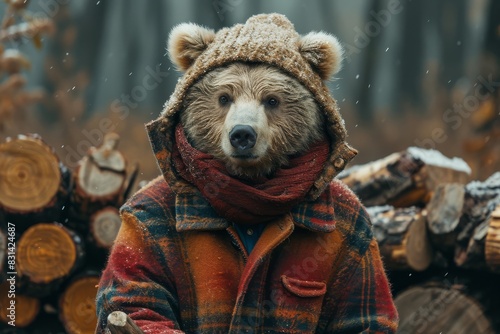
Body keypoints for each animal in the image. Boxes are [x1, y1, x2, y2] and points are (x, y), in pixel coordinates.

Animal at [94, 13, 398, 334]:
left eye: (272, 100)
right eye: (224, 97)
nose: (242, 134)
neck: (250, 185)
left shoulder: (355, 223)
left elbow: (361, 311)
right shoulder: (141, 222)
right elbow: (139, 294)